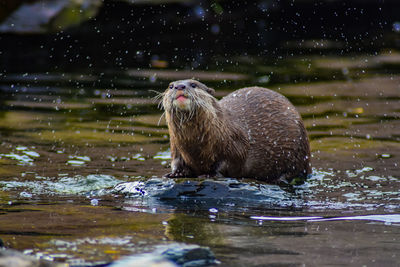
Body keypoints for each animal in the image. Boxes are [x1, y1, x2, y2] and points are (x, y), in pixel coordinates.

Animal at [161, 79, 310, 184]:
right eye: (170, 86)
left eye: (193, 84)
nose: (180, 86)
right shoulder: (175, 146)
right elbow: (176, 162)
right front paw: (176, 173)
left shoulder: (234, 144)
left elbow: (230, 162)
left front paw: (209, 174)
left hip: (298, 152)